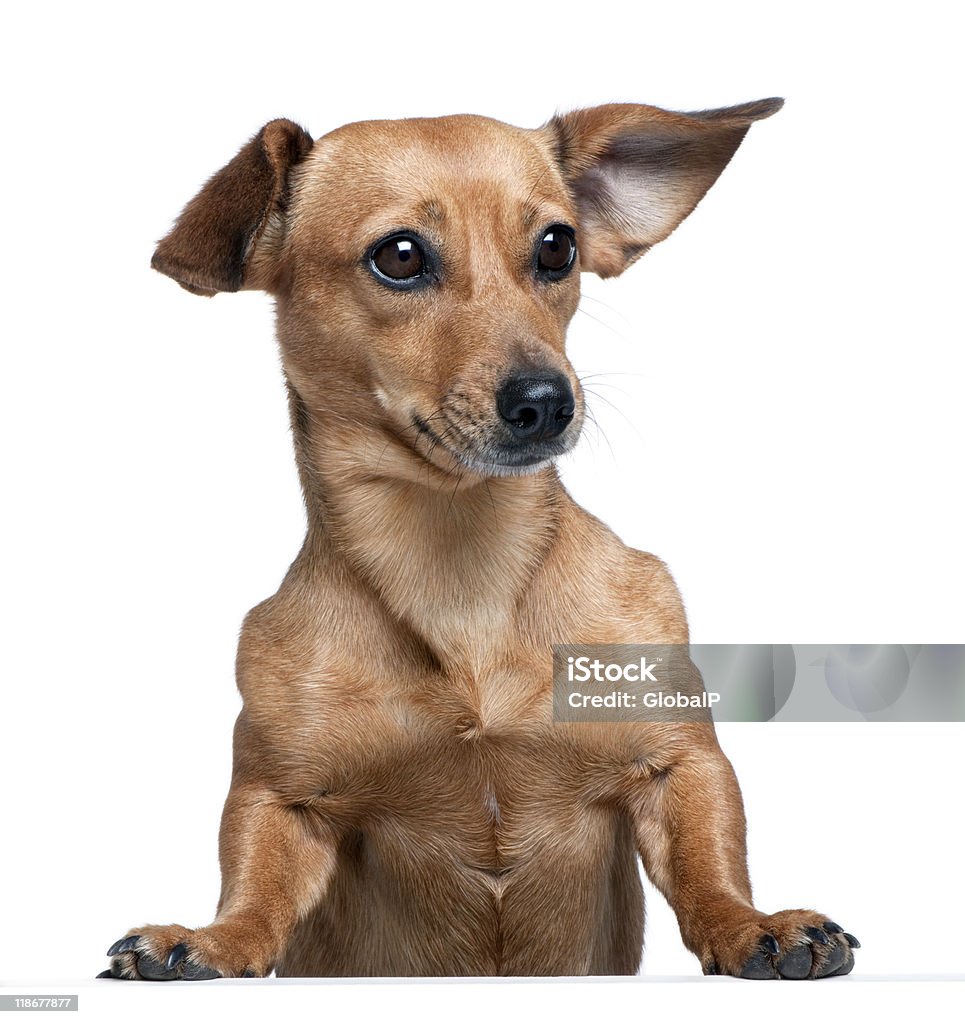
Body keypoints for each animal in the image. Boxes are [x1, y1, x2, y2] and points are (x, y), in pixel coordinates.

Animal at [103, 99, 860, 978]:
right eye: (399, 256)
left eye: (557, 246)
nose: (547, 400)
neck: (460, 567)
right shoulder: (279, 799)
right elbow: (254, 891)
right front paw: (213, 940)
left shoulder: (679, 765)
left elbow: (711, 867)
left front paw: (750, 925)